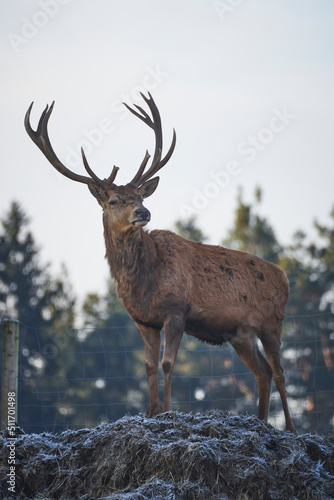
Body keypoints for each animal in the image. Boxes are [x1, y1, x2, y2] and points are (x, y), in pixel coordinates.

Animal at [24, 94, 294, 434]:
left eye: (140, 196)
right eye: (114, 200)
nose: (144, 212)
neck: (144, 280)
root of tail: (284, 276)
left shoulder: (176, 310)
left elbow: (168, 363)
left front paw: (166, 410)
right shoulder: (143, 319)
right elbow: (149, 365)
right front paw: (150, 411)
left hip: (272, 321)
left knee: (280, 372)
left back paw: (291, 429)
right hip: (241, 334)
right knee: (263, 372)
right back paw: (260, 422)